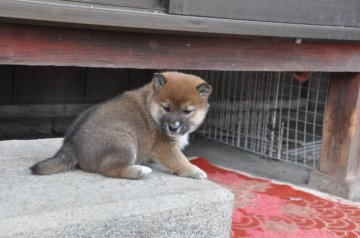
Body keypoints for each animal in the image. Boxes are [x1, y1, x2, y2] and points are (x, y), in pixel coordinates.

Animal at [31, 71, 212, 179]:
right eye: (166, 108)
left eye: (187, 111)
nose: (173, 127)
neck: (150, 103)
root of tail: (71, 144)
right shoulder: (165, 146)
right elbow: (180, 161)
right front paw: (195, 170)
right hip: (124, 139)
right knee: (110, 169)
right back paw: (140, 171)